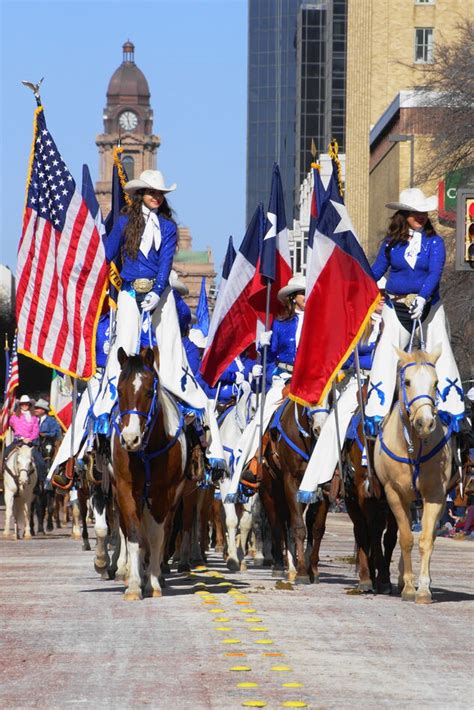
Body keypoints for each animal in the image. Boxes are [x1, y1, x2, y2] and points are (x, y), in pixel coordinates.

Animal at [112, 348, 186, 604]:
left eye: (148, 391)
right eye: (119, 390)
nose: (130, 439)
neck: (145, 453)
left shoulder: (162, 494)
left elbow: (156, 537)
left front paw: (152, 583)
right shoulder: (126, 490)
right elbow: (135, 537)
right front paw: (134, 585)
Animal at [374, 348, 452, 604]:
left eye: (436, 382)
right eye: (407, 382)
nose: (425, 423)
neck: (413, 447)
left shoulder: (435, 495)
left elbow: (426, 540)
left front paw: (424, 588)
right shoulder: (394, 494)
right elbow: (406, 539)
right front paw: (409, 587)